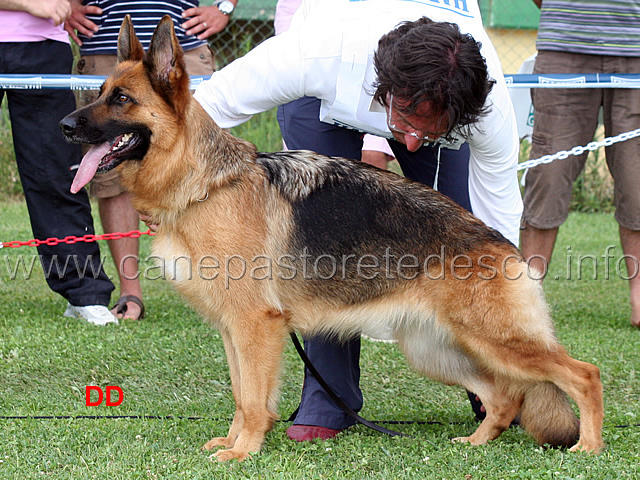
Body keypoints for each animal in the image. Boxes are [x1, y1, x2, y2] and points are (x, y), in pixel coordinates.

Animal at [60, 17, 604, 462]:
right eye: (100, 91)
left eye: (122, 99)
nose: (65, 126)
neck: (205, 185)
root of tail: (502, 244)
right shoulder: (233, 330)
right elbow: (241, 394)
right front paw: (235, 443)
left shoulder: (256, 327)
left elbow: (253, 399)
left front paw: (244, 452)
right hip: (438, 348)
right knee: (504, 397)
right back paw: (475, 442)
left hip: (496, 342)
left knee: (583, 374)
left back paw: (589, 446)